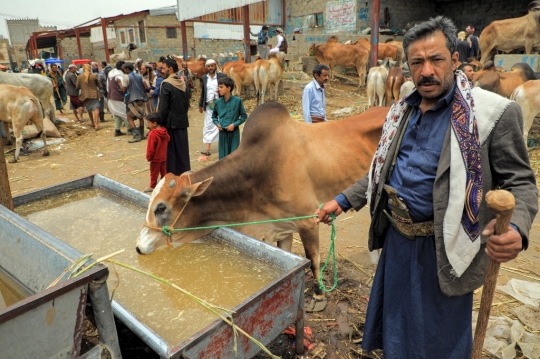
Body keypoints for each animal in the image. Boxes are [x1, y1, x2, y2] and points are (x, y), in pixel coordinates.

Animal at [136, 103, 388, 310]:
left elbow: (313, 260)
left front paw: (318, 296)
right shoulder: (282, 228)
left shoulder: (308, 221)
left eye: (161, 208)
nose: (139, 247)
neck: (258, 170)